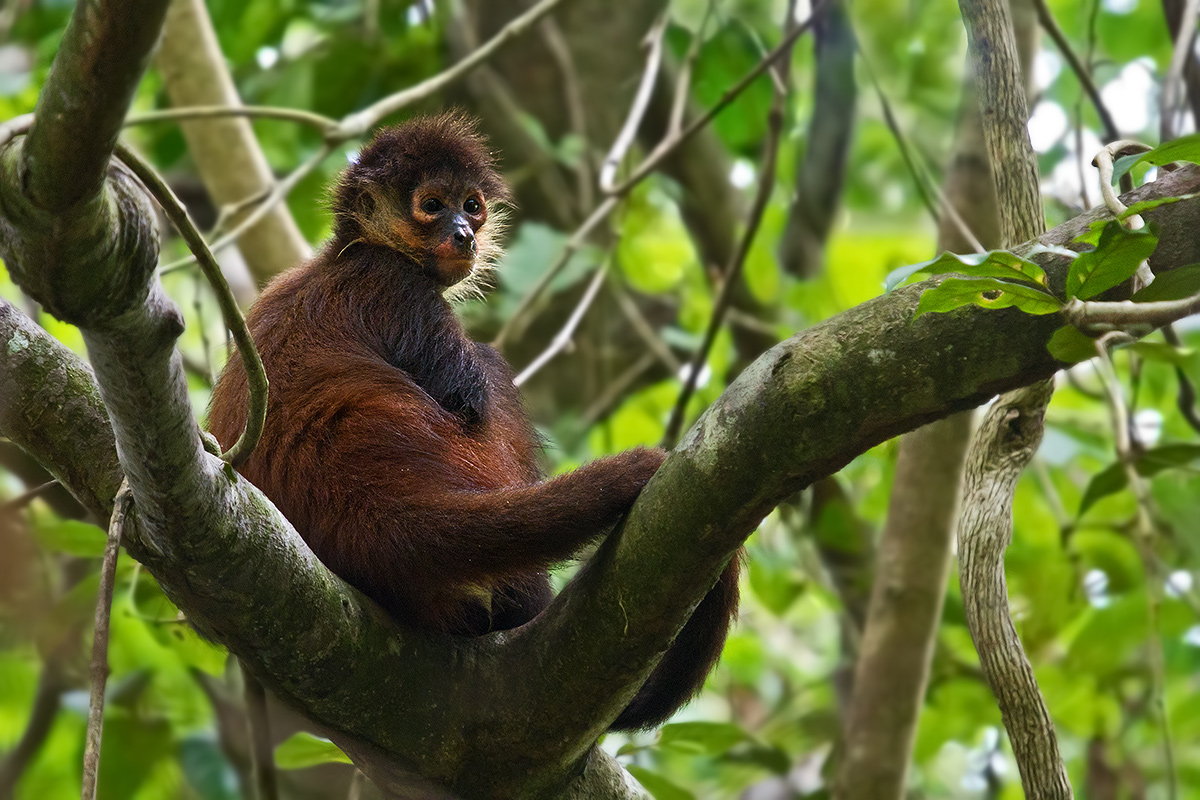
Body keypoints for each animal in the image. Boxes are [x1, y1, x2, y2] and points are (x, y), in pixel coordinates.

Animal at [207, 112, 739, 731]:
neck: (353, 251)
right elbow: (472, 394)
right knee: (489, 369)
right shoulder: (398, 287)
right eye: (433, 205)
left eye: (472, 206)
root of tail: (381, 515)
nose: (463, 233)